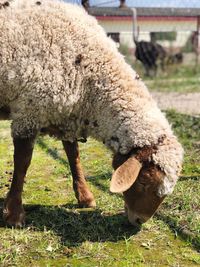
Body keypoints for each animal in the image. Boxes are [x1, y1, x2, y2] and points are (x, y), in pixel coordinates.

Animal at [0, 0, 184, 228]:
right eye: (143, 180)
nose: (139, 220)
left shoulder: (66, 113)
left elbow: (74, 155)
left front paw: (85, 196)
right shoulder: (29, 112)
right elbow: (22, 162)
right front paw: (14, 214)